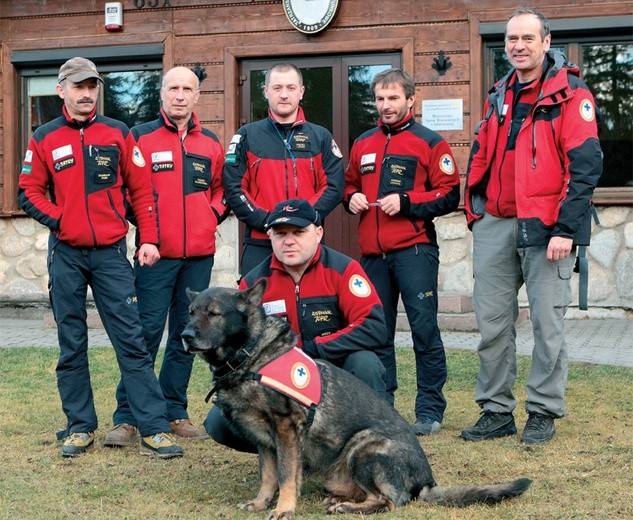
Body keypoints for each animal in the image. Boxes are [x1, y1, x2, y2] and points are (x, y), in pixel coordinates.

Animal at [183, 282, 532, 516]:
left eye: (214, 314)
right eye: (190, 313)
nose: (185, 336)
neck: (252, 355)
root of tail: (426, 481)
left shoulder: (286, 430)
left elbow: (285, 476)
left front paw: (284, 509)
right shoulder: (265, 441)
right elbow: (269, 476)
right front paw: (259, 503)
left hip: (363, 448)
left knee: (391, 502)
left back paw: (348, 508)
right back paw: (341, 500)